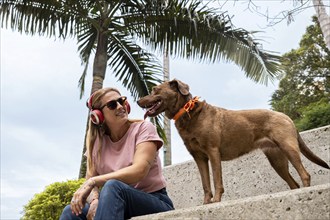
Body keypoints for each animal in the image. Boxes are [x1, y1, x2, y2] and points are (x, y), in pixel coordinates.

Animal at [137, 78, 330, 205]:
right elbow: (205, 184)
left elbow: (217, 180)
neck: (187, 112)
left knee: (304, 174)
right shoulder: (199, 157)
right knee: (293, 182)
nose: (138, 100)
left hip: (288, 147)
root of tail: (285, 116)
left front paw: (216, 201)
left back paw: (306, 190)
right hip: (277, 160)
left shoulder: (213, 152)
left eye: (155, 90)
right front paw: (206, 203)